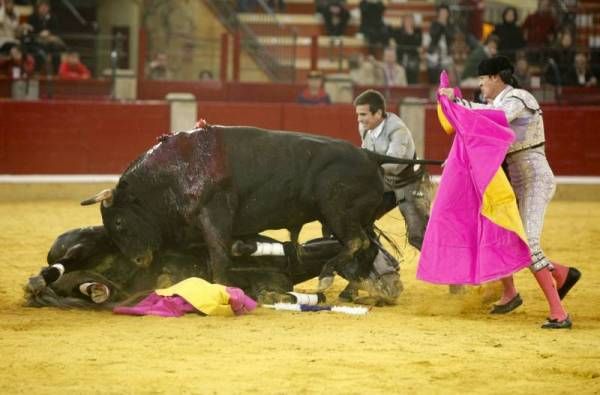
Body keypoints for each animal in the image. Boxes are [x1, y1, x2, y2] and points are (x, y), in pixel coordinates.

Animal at [78, 126, 440, 290]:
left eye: (120, 223)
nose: (139, 260)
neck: (173, 173)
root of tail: (369, 154)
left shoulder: (215, 215)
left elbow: (219, 256)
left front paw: (221, 289)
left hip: (337, 212)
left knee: (356, 242)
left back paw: (327, 278)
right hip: (353, 216)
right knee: (367, 247)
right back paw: (355, 289)